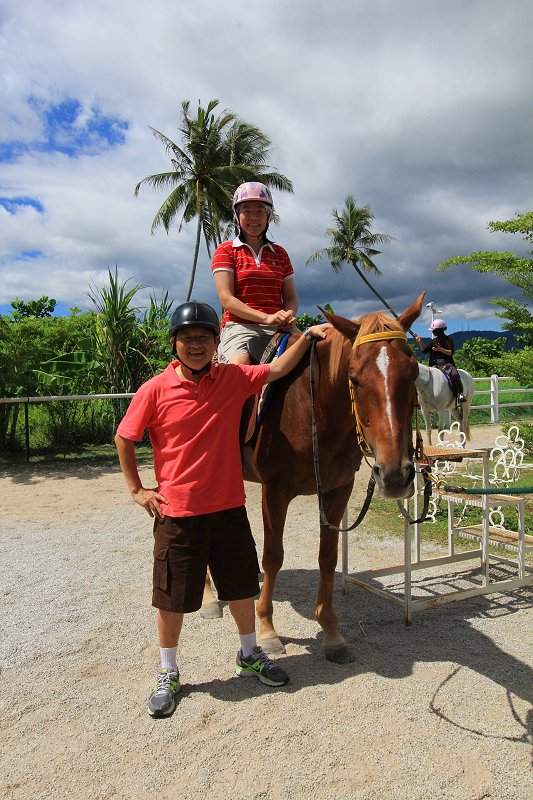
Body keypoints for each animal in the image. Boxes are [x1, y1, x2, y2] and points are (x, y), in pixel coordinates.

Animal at [204, 294, 424, 664]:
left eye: (415, 373)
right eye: (354, 377)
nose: (395, 474)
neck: (312, 409)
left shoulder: (337, 490)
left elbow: (327, 557)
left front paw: (331, 632)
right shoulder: (275, 491)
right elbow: (273, 556)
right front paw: (267, 630)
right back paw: (208, 599)